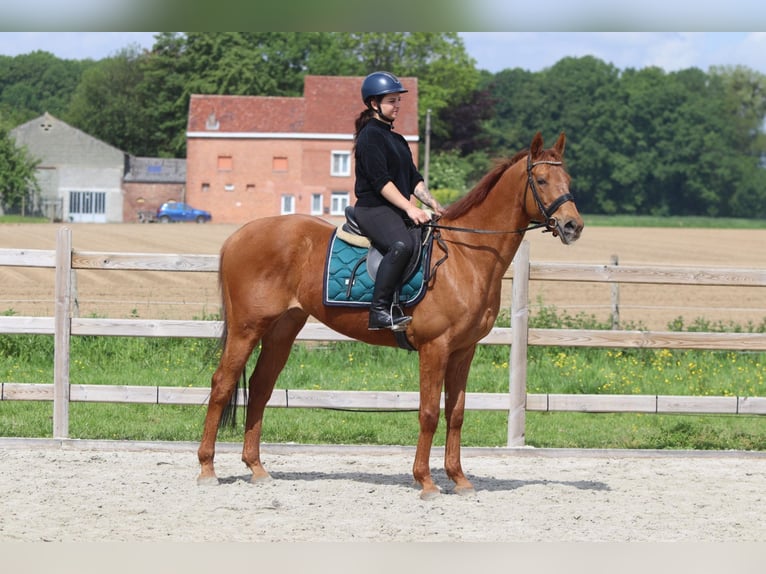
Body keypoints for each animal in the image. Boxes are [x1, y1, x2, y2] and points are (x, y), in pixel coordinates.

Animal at [197, 131, 584, 499]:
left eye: (567, 178)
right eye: (542, 180)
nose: (572, 226)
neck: (465, 256)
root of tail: (238, 236)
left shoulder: (463, 350)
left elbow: (456, 413)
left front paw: (459, 479)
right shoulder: (435, 348)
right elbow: (429, 413)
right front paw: (426, 481)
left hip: (281, 330)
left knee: (261, 387)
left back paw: (257, 468)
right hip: (247, 328)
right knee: (222, 384)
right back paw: (207, 469)